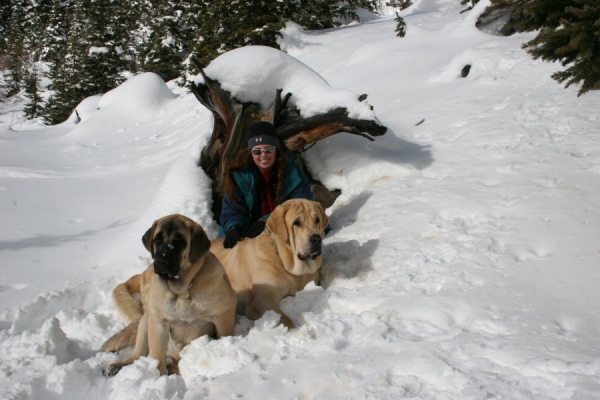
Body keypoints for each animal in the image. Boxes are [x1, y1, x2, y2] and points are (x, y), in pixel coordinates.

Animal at [99, 214, 236, 376]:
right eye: (157, 240)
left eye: (179, 242)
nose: (160, 260)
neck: (182, 291)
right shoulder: (159, 322)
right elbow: (157, 356)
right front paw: (158, 375)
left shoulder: (224, 313)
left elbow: (224, 334)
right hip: (146, 321)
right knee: (137, 356)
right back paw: (116, 367)